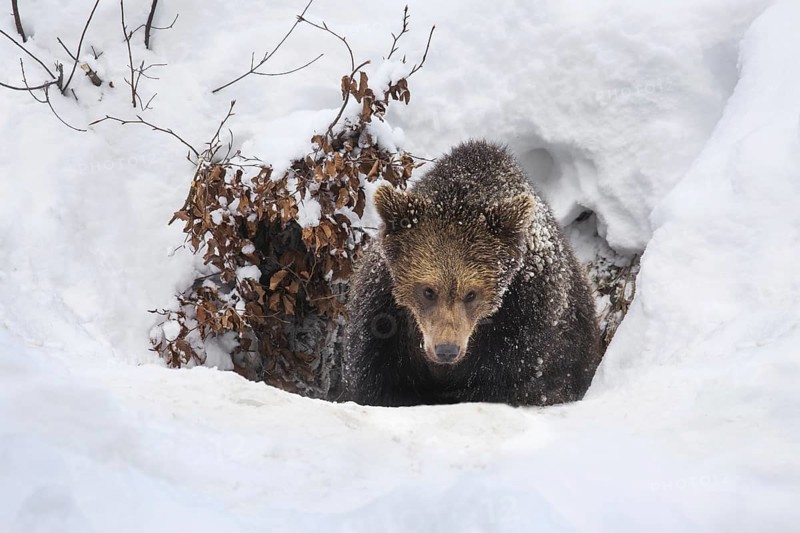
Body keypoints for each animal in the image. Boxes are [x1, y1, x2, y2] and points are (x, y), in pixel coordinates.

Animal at [343, 140, 601, 407]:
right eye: (428, 291)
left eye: (471, 294)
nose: (447, 350)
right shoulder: (383, 313)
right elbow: (379, 378)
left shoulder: (527, 314)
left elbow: (512, 379)